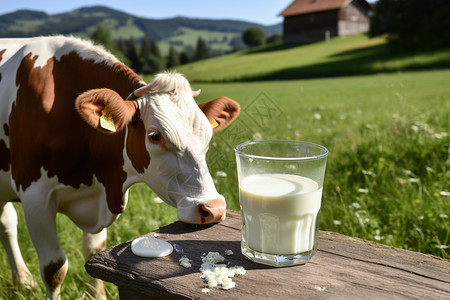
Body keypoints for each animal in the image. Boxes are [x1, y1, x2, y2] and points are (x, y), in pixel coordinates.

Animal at [0, 36, 239, 298]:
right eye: (155, 136)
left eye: (207, 134)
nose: (214, 208)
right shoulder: (35, 197)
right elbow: (54, 269)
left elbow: (93, 252)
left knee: (6, 222)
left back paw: (23, 280)